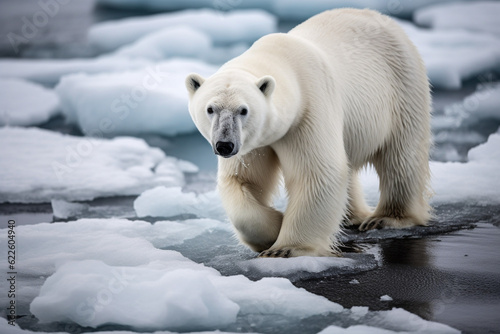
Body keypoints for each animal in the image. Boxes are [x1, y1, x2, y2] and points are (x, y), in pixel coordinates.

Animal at [186, 8, 432, 258]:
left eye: (243, 110)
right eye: (210, 109)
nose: (224, 145)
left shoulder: (309, 110)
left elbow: (317, 173)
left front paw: (285, 248)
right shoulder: (253, 143)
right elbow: (244, 180)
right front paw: (274, 227)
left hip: (403, 85)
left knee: (401, 155)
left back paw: (385, 218)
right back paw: (351, 217)